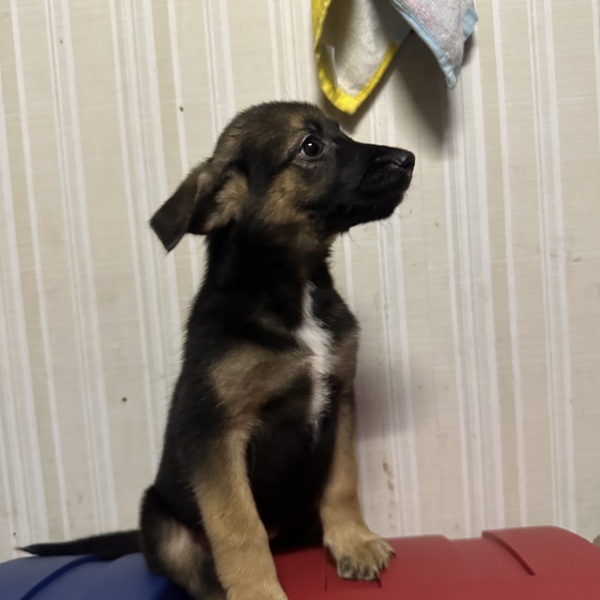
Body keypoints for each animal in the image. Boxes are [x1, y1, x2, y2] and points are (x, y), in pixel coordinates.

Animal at [23, 101, 415, 600]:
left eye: (340, 132)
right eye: (311, 146)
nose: (408, 159)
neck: (291, 288)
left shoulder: (340, 399)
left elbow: (343, 482)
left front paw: (353, 541)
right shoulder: (216, 433)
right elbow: (238, 526)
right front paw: (258, 591)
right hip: (163, 525)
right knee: (197, 570)